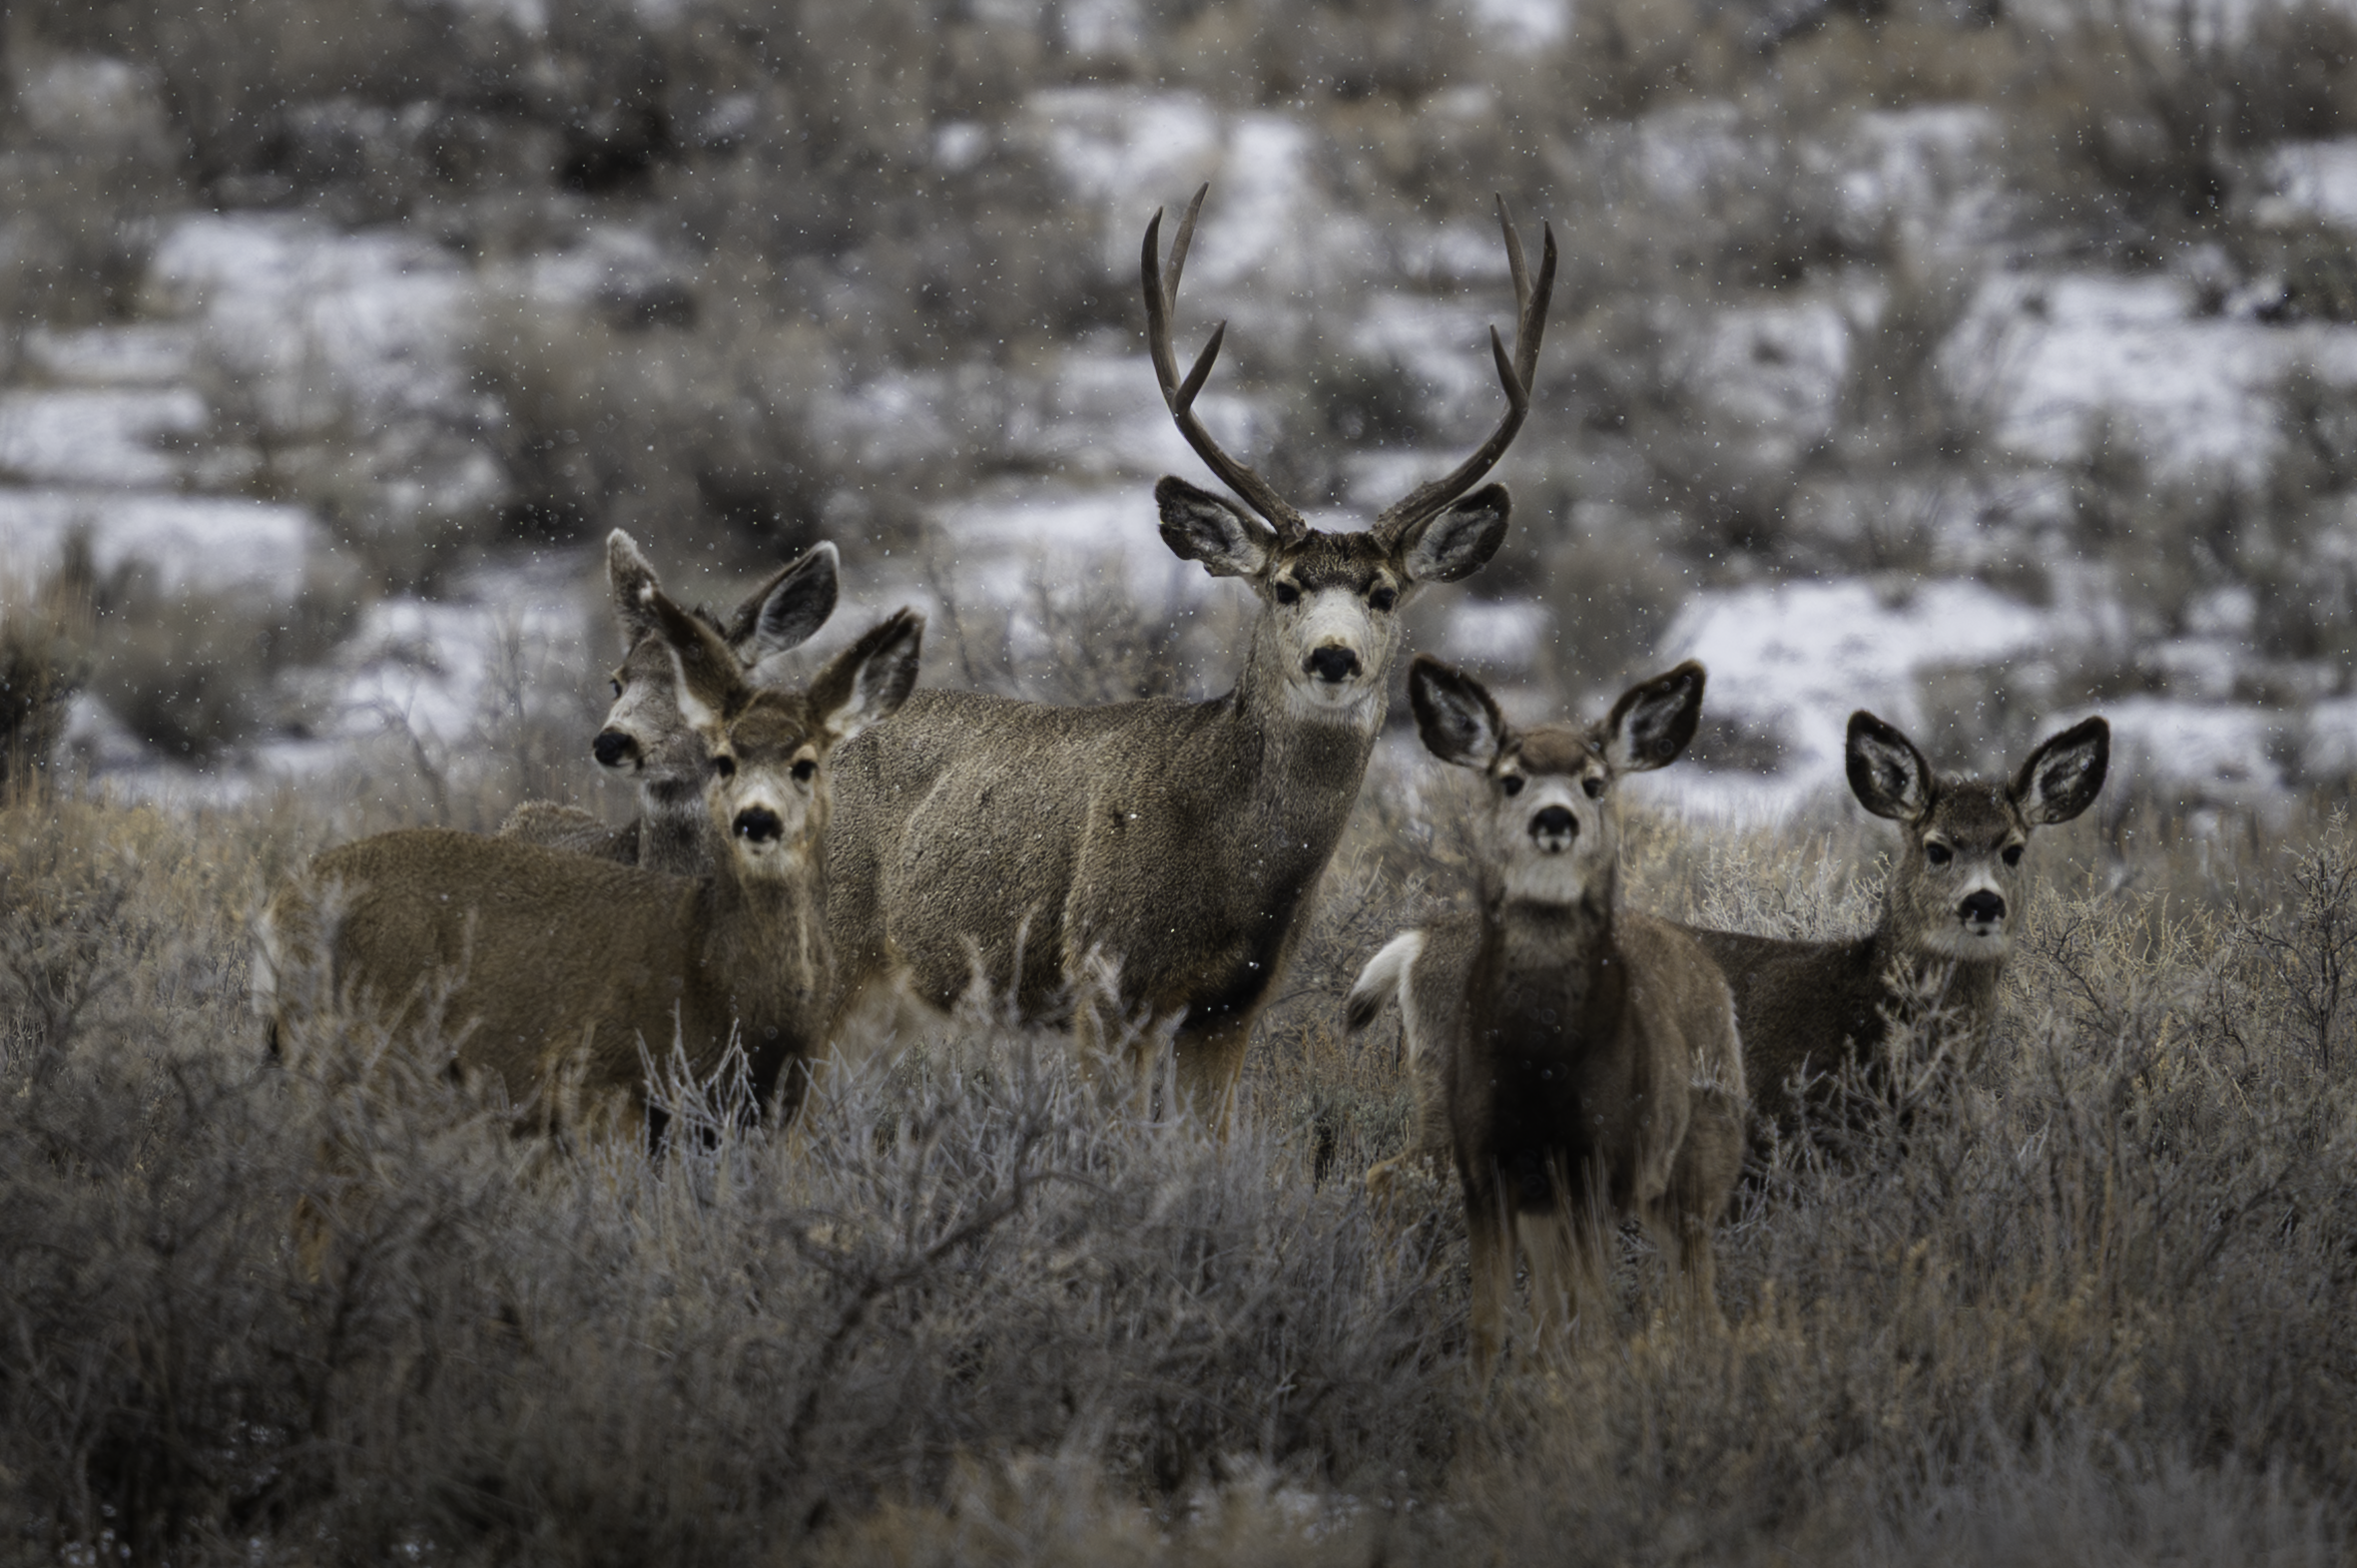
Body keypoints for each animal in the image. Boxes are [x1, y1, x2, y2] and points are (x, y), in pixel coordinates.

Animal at [818, 186, 1556, 1124]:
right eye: (1283, 585)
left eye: (1384, 593)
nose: (1332, 658)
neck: (1231, 863)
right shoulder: (1104, 977)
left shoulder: (1232, 1003)